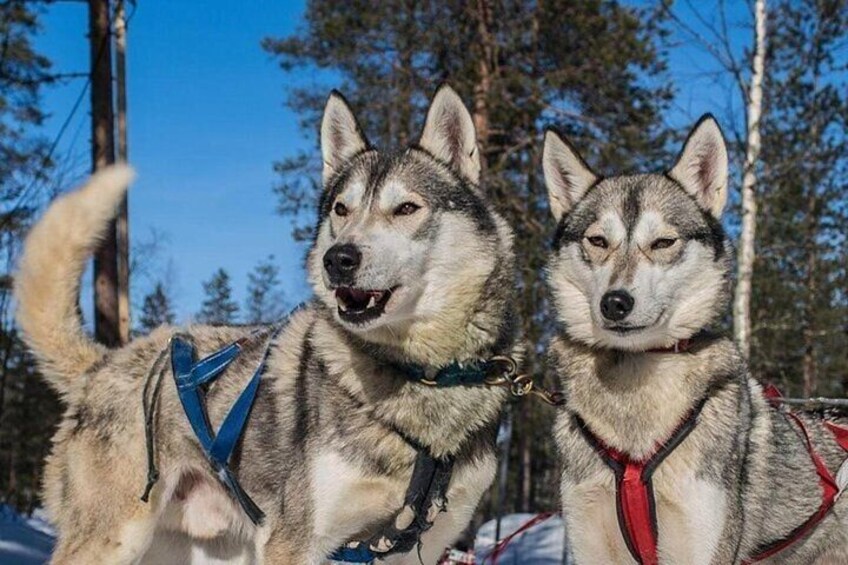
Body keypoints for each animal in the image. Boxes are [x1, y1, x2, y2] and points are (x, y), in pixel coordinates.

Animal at [18, 85, 524, 564]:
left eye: (406, 209)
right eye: (341, 209)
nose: (337, 259)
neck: (422, 376)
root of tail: (103, 365)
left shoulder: (418, 550)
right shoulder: (294, 541)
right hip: (114, 539)